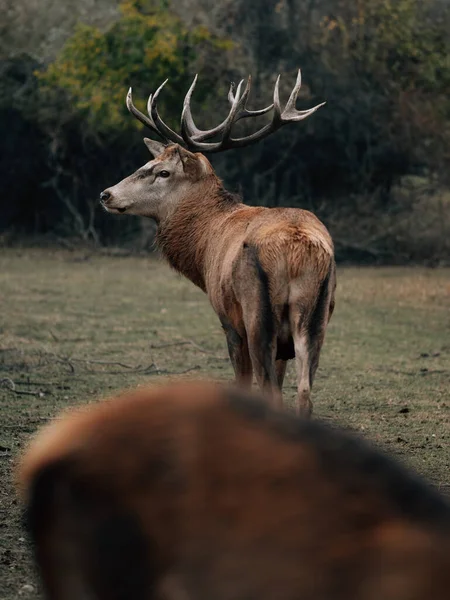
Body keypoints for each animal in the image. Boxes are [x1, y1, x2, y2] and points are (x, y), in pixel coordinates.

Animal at [101, 70, 334, 414]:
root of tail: (296, 249)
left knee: (270, 390)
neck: (204, 244)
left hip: (257, 316)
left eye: (162, 171)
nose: (106, 194)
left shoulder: (229, 321)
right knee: (303, 394)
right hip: (316, 317)